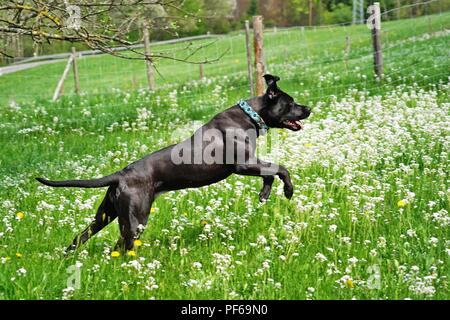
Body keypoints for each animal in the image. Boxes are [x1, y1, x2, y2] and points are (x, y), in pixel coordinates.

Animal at [36, 75, 310, 252]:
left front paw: (264, 195)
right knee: (122, 247)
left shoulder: (249, 164)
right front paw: (288, 190)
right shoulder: (243, 165)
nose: (308, 108)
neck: (251, 115)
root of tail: (120, 174)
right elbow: (279, 168)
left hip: (106, 215)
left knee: (81, 238)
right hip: (135, 219)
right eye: (291, 102)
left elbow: (270, 173)